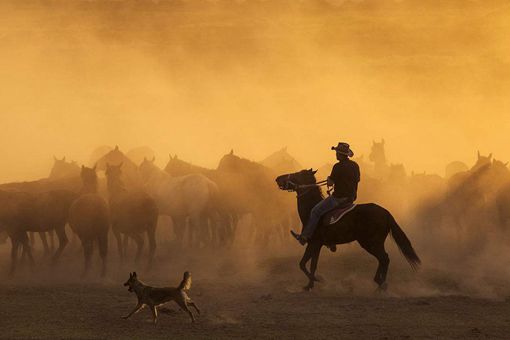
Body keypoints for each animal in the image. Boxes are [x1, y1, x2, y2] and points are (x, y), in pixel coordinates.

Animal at [276, 169, 420, 290]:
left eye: (296, 174)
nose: (278, 178)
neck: (311, 209)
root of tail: (386, 212)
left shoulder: (313, 243)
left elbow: (302, 264)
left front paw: (317, 280)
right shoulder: (317, 245)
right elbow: (312, 265)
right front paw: (310, 285)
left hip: (371, 243)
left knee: (384, 258)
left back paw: (381, 284)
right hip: (374, 243)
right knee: (383, 259)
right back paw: (379, 282)